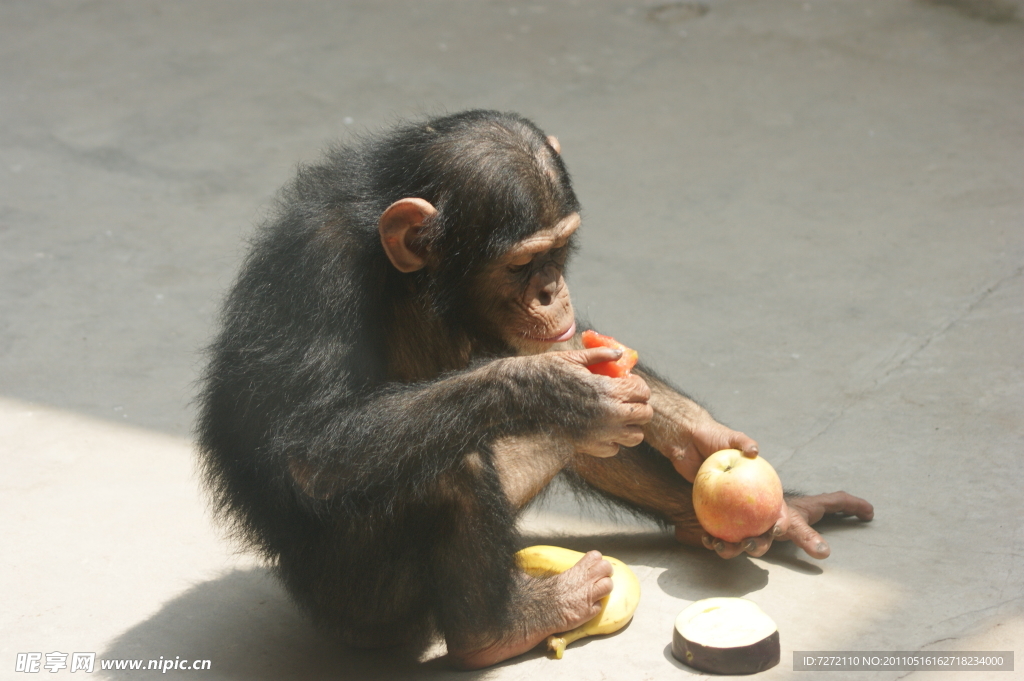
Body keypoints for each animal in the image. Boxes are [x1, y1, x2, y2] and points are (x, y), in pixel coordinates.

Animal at [197, 109, 872, 667]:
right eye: (522, 264)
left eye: (563, 246)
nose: (551, 290)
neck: (412, 282)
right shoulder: (313, 273)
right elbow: (310, 446)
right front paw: (560, 393)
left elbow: (594, 363)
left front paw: (694, 432)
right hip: (361, 609)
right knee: (448, 466)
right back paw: (501, 630)